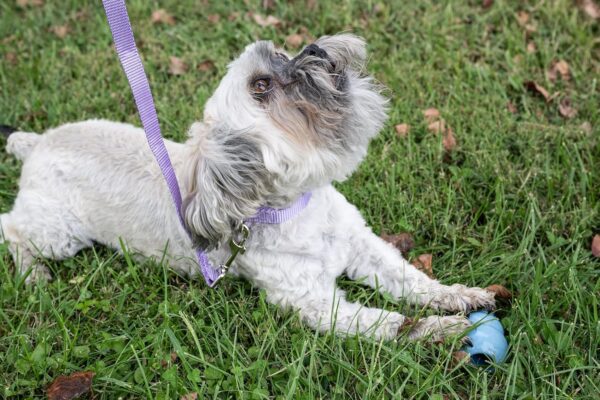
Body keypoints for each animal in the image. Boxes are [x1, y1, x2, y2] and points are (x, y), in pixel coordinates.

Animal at [0, 33, 496, 340]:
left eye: (281, 51)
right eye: (261, 86)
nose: (314, 49)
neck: (297, 211)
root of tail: (37, 143)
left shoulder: (365, 248)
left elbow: (412, 280)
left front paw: (458, 297)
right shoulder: (318, 306)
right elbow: (393, 323)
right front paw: (447, 333)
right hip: (58, 232)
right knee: (11, 227)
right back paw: (34, 274)